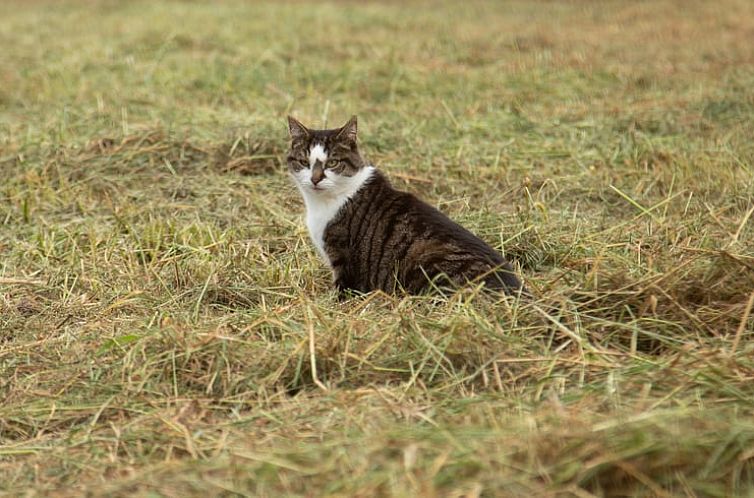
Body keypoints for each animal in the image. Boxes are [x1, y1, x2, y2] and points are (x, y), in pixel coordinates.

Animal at [284, 116, 520, 296]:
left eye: (332, 163)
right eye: (304, 163)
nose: (315, 179)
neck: (325, 201)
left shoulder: (345, 260)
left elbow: (344, 290)